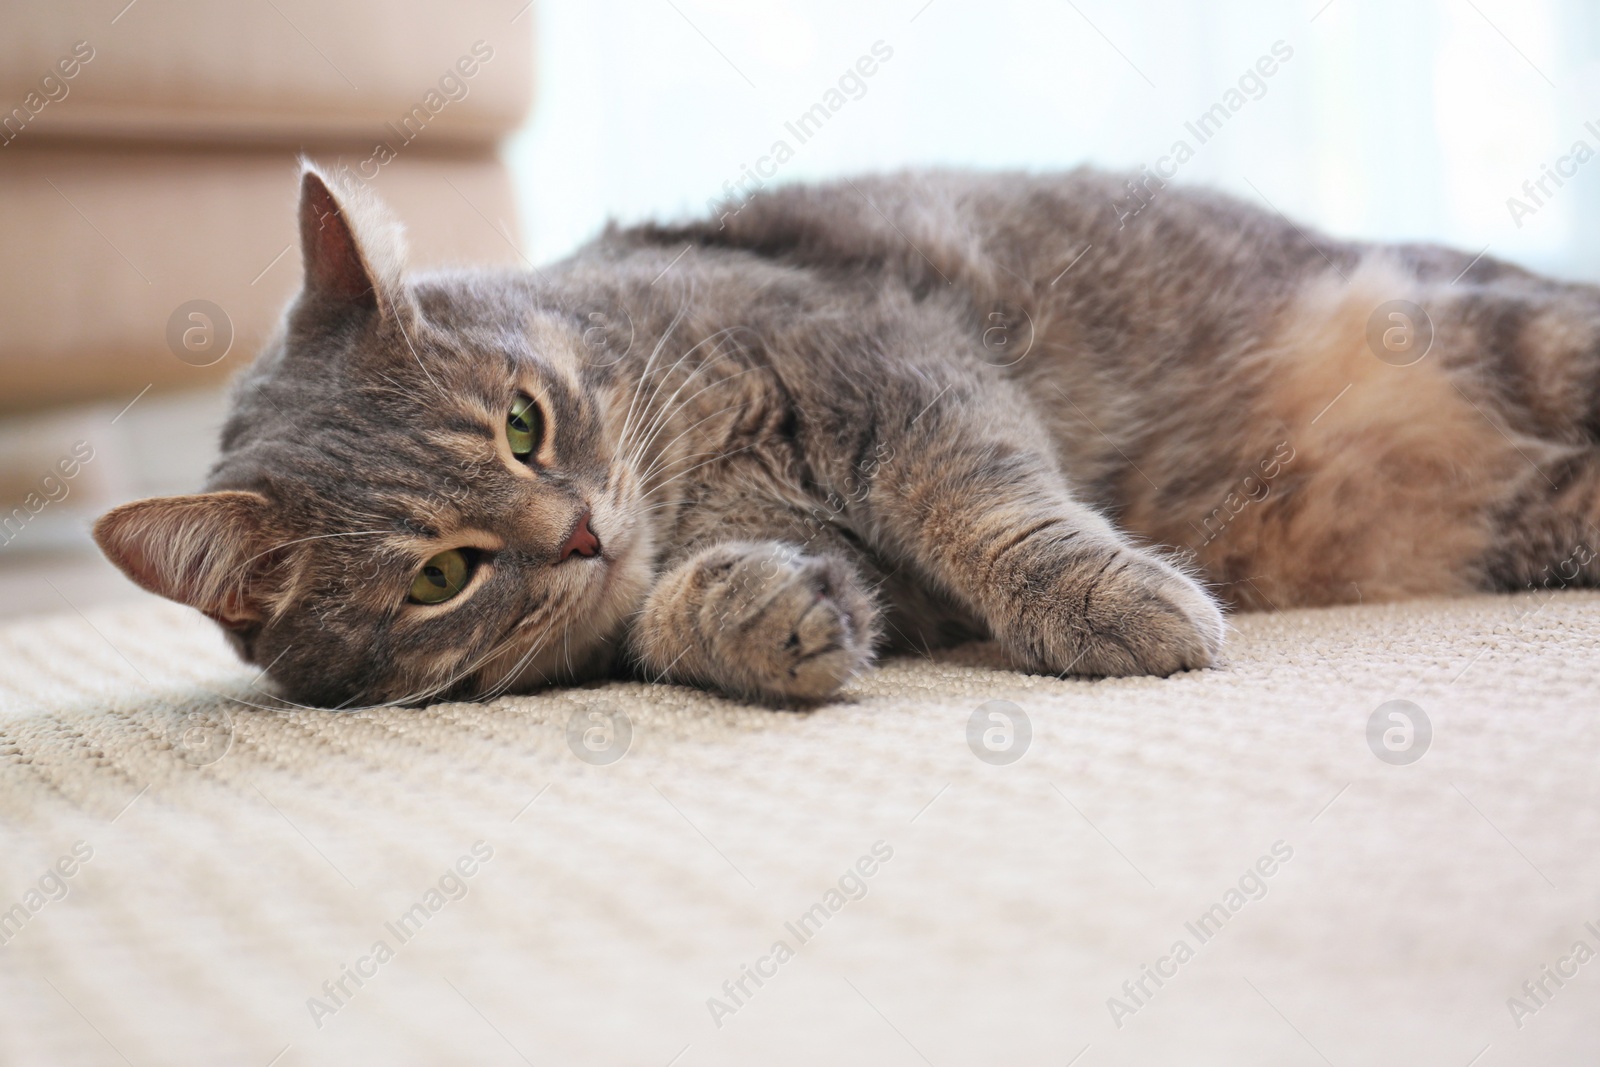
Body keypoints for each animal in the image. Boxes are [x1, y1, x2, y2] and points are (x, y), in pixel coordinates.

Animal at [93, 164, 1593, 710]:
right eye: (438, 576)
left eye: (522, 423)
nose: (576, 530)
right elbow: (681, 617)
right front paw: (760, 613)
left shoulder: (888, 365)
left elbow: (981, 505)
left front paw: (1110, 599)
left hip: (1525, 335)